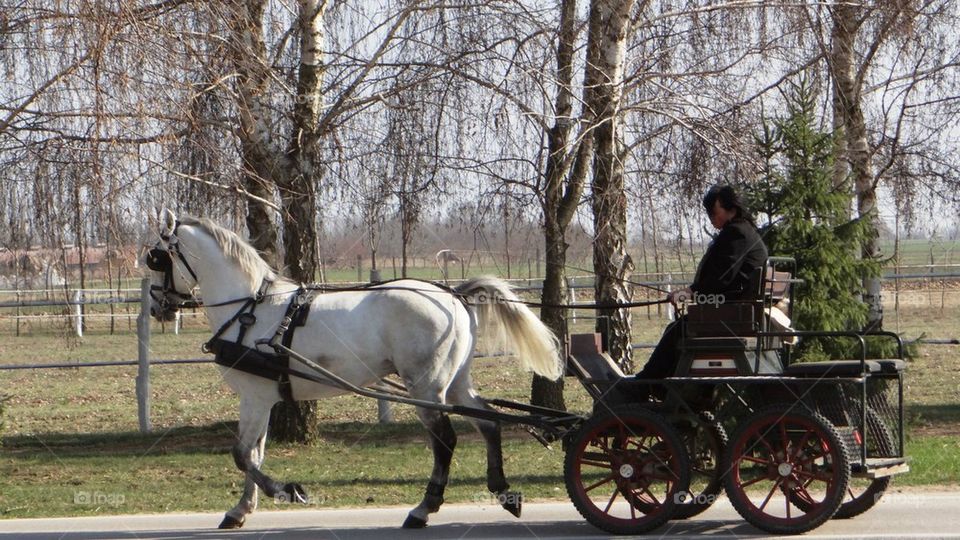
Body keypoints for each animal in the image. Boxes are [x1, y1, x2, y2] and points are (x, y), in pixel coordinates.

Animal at [143, 209, 564, 528]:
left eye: (155, 258)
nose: (157, 307)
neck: (251, 309)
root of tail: (453, 294)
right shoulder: (262, 397)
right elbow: (254, 455)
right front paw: (241, 510)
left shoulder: (255, 397)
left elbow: (243, 455)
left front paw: (288, 491)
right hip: (456, 383)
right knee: (488, 423)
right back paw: (503, 491)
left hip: (426, 388)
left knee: (444, 440)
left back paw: (423, 509)